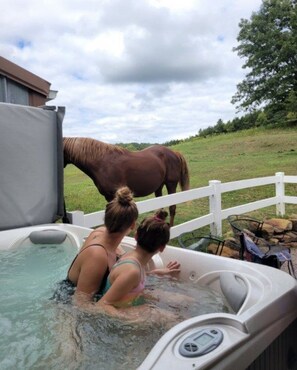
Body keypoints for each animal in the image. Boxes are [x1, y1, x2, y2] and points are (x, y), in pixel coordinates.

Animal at [62, 137, 190, 225]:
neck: (102, 163)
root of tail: (174, 153)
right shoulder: (108, 197)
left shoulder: (114, 196)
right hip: (159, 186)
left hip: (171, 184)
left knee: (172, 207)